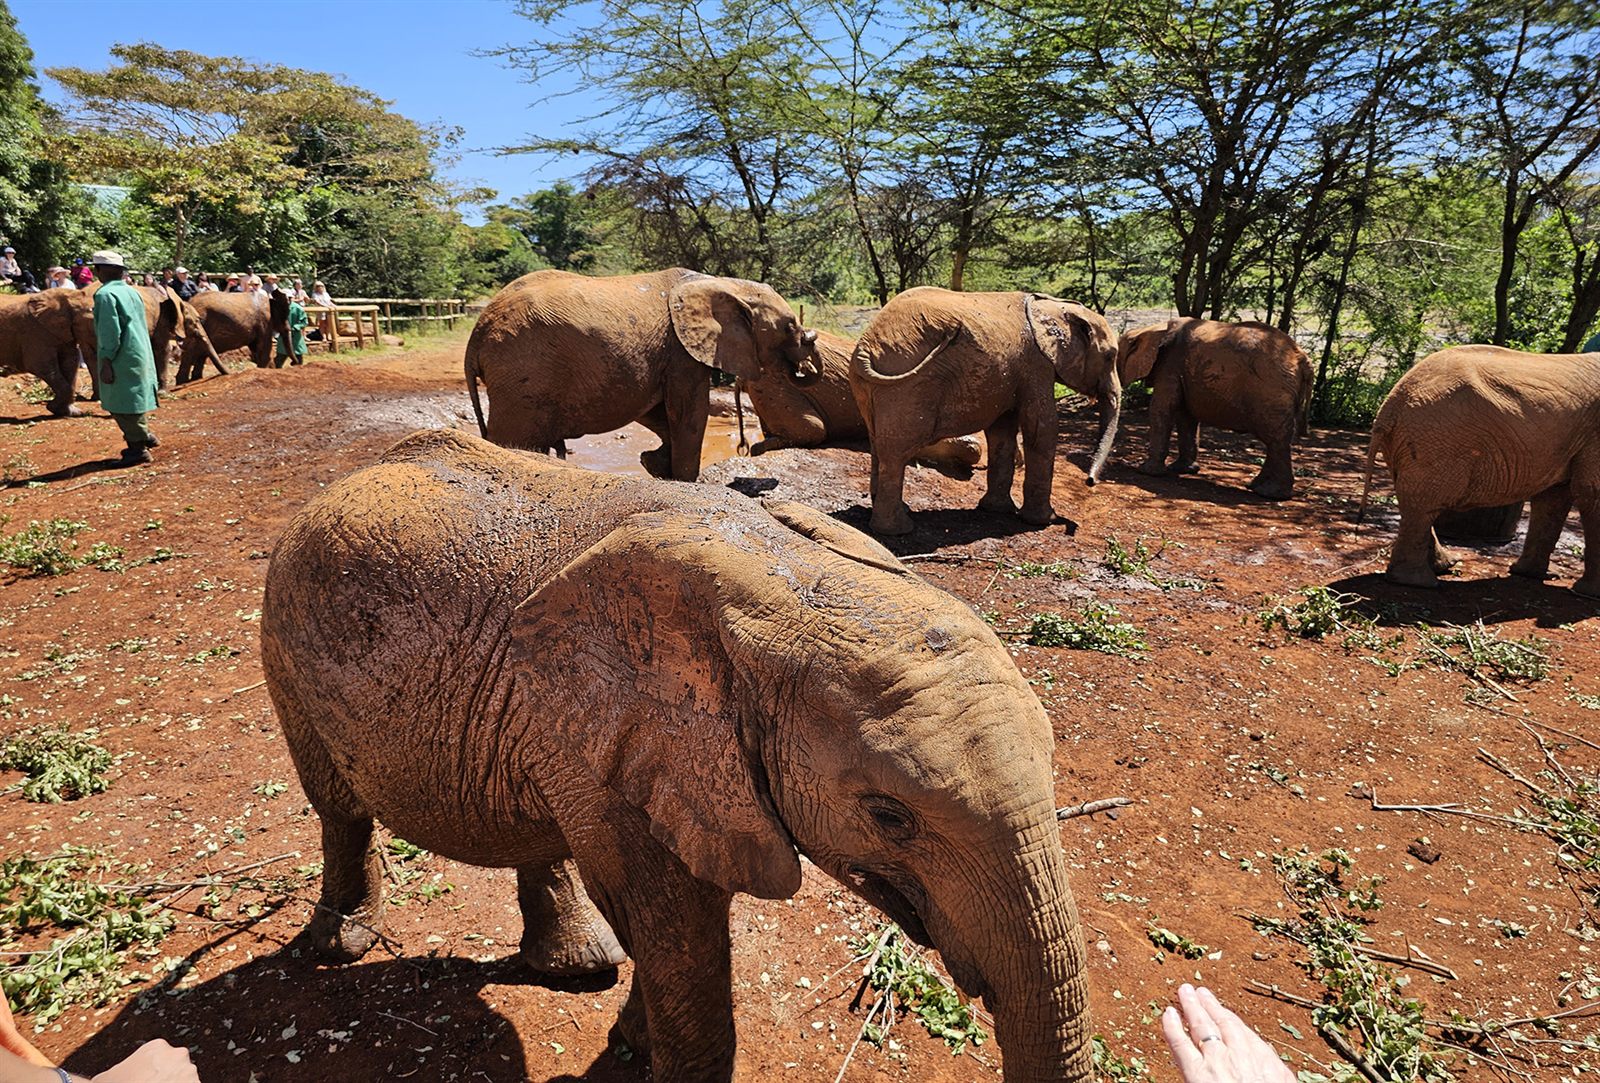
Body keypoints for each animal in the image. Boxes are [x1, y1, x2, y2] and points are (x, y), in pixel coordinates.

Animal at [262, 428, 1094, 1083]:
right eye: (890, 816)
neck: (794, 587)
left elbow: (681, 911)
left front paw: (633, 1039)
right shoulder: (625, 735)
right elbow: (674, 925)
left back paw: (578, 966)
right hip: (285, 642)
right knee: (338, 808)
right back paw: (341, 946)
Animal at [464, 269, 820, 481]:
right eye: (789, 326)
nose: (811, 338)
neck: (723, 283)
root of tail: (476, 335)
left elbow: (655, 410)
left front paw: (654, 463)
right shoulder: (680, 352)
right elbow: (689, 413)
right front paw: (683, 480)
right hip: (524, 372)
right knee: (514, 438)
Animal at [849, 287, 1120, 535]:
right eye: (1110, 356)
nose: (1090, 481)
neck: (1055, 305)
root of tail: (865, 347)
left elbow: (1002, 430)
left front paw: (997, 510)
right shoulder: (1036, 364)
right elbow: (1041, 428)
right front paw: (1044, 521)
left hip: (870, 387)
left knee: (878, 445)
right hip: (907, 387)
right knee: (895, 453)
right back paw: (898, 530)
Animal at [1117, 318, 1313, 500]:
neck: (1153, 329)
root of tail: (1303, 360)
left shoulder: (1169, 366)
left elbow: (1161, 410)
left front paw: (1145, 471)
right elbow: (1185, 417)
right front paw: (1183, 470)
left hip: (1272, 392)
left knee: (1276, 439)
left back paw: (1271, 494)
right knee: (1276, 441)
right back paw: (1256, 486)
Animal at [1358, 344, 1600, 596]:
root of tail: (1389, 407)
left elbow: (1553, 498)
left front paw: (1535, 575)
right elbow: (1590, 493)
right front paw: (1589, 594)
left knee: (1418, 503)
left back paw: (1445, 566)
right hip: (1439, 439)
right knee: (1424, 505)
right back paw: (1422, 582)